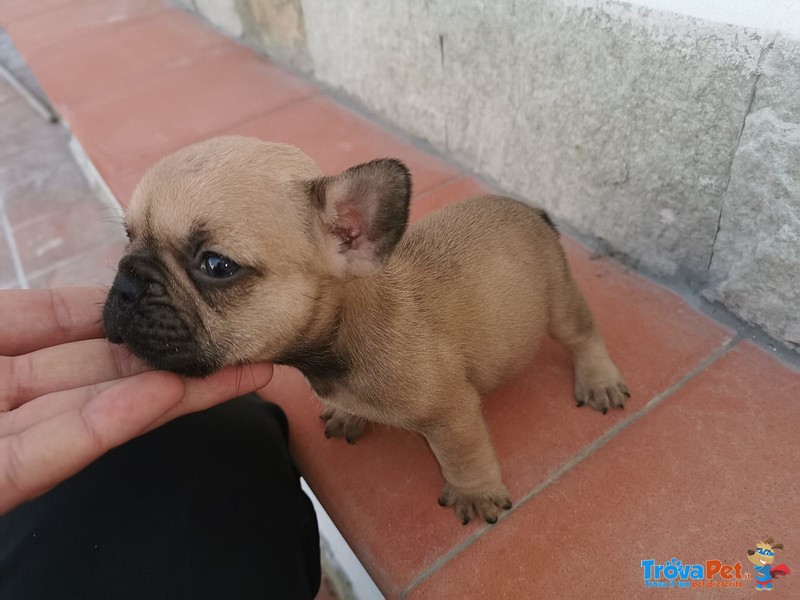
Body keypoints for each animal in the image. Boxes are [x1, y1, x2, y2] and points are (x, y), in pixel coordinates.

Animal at [103, 136, 628, 524]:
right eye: (127, 237)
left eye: (216, 265)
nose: (126, 284)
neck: (339, 336)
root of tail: (530, 211)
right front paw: (347, 413)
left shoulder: (452, 413)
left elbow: (463, 456)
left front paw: (474, 493)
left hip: (558, 300)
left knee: (582, 333)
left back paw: (598, 379)